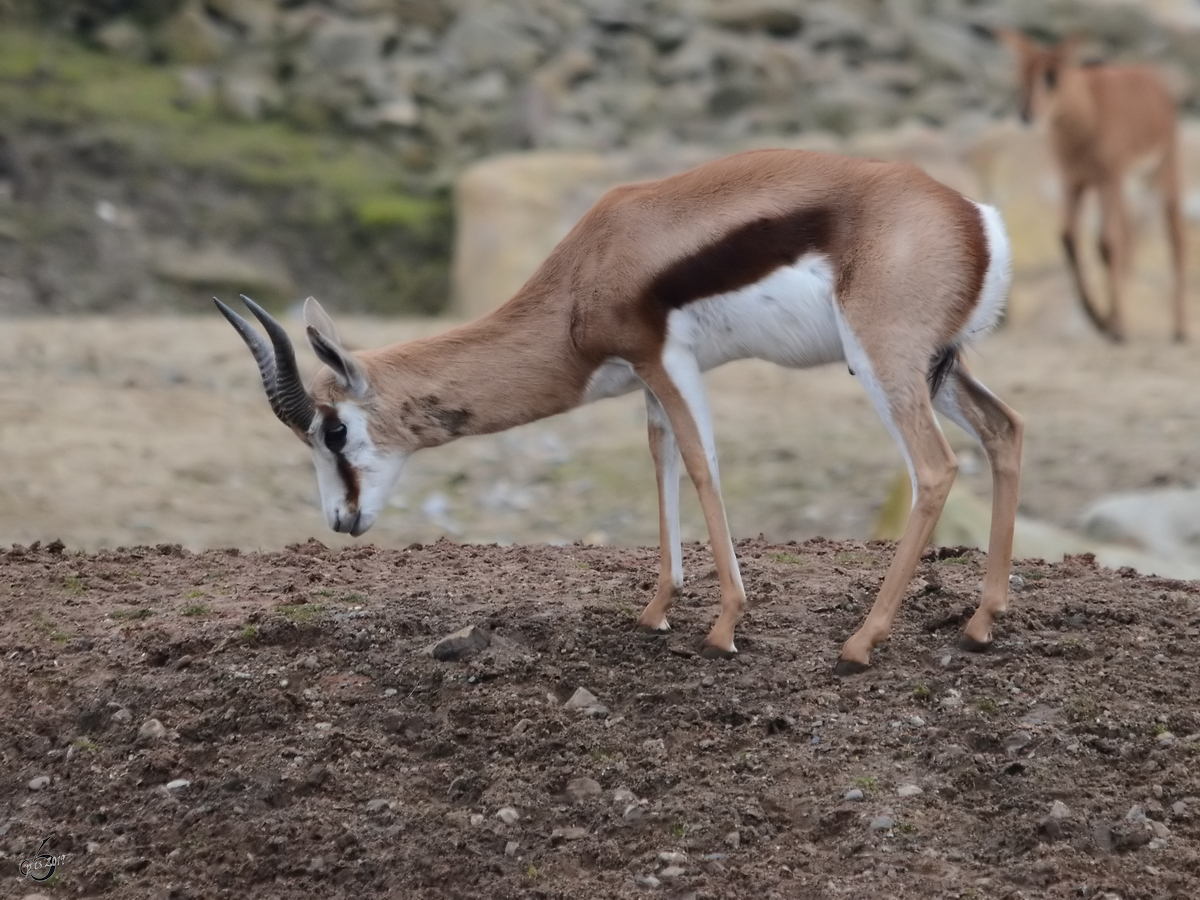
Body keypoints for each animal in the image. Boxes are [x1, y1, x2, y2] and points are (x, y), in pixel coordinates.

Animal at [216, 148, 1022, 672]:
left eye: (334, 430)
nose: (341, 519)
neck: (586, 272)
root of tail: (974, 219)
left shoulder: (667, 361)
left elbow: (700, 465)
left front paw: (723, 627)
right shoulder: (648, 379)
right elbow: (662, 462)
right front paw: (656, 609)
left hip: (884, 363)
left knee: (935, 468)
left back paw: (861, 643)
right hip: (937, 369)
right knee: (1005, 431)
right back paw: (980, 624)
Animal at [998, 28, 1185, 343]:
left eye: (1052, 75)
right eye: (1022, 73)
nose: (1026, 114)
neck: (1087, 115)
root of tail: (1155, 80)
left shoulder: (1108, 178)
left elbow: (1107, 244)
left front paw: (1115, 327)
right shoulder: (1075, 182)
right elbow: (1068, 238)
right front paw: (1102, 322)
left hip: (1161, 173)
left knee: (1174, 240)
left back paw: (1179, 331)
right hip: (1123, 187)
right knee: (1130, 237)